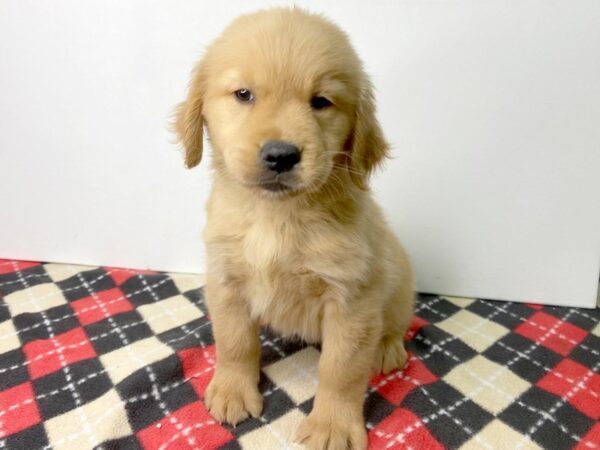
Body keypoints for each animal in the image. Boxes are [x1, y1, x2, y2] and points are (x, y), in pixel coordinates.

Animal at [175, 7, 412, 450]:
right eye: (244, 94)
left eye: (321, 102)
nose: (281, 155)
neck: (277, 216)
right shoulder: (226, 280)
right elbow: (233, 342)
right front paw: (233, 390)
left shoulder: (351, 300)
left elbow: (341, 369)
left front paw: (333, 425)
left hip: (400, 285)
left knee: (395, 325)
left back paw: (388, 349)